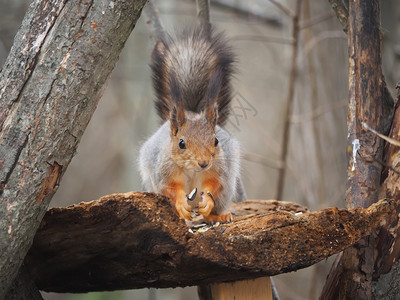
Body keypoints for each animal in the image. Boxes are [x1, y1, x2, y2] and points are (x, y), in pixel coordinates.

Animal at [139, 26, 245, 223]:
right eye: (181, 143)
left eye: (216, 141)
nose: (203, 163)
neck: (192, 170)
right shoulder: (163, 175)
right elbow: (171, 189)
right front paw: (181, 204)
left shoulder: (218, 171)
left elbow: (214, 185)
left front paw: (207, 203)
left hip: (226, 191)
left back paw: (218, 215)